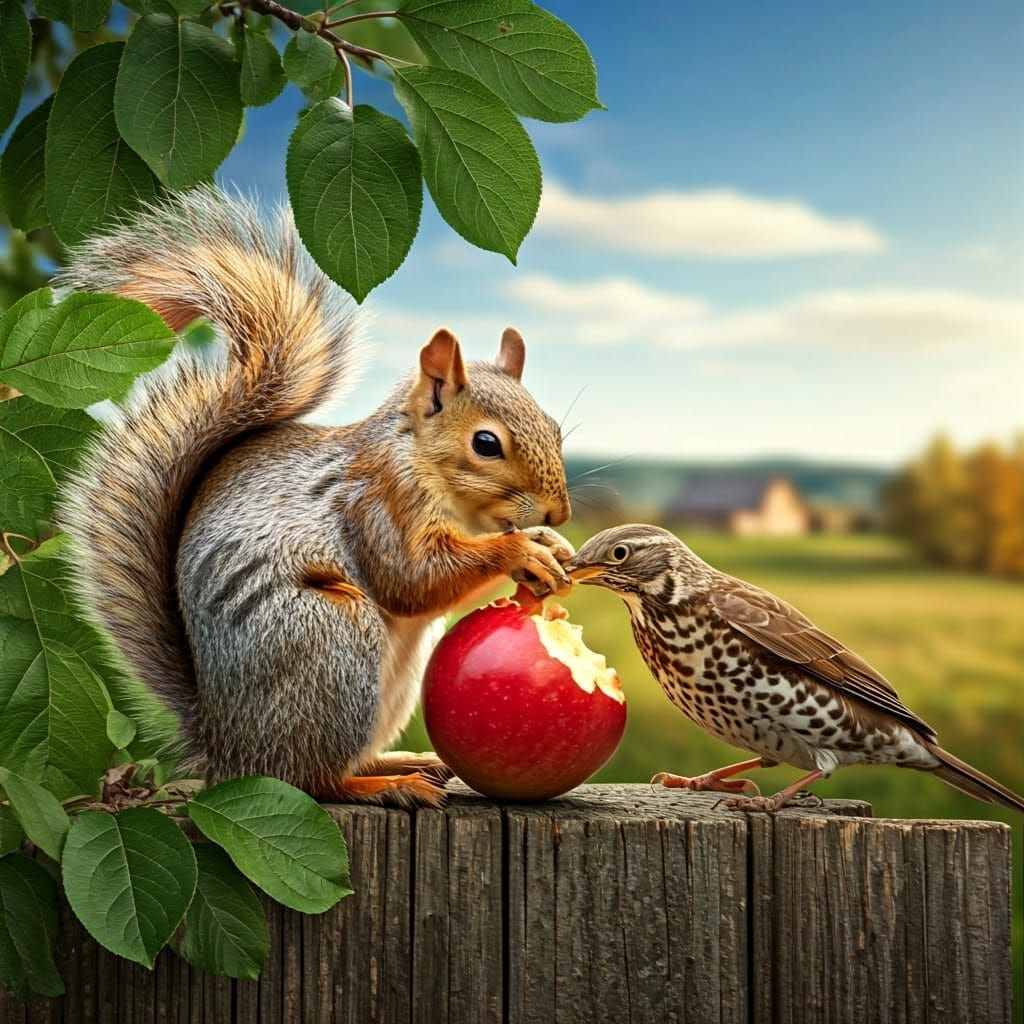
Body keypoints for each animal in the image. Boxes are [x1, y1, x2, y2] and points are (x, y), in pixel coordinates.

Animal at [57, 187, 574, 807]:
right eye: (486, 443)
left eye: (555, 427)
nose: (559, 512)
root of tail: (225, 749)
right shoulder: (376, 506)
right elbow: (414, 579)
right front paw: (521, 551)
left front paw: (549, 545)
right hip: (331, 637)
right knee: (309, 779)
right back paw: (387, 785)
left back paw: (405, 761)